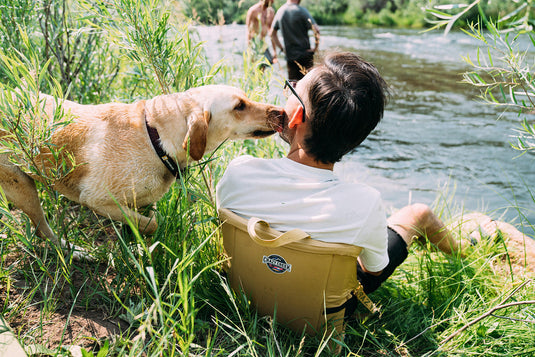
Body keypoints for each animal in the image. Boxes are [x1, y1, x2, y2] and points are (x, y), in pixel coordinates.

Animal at [1, 84, 284, 245]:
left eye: (245, 99)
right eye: (239, 106)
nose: (281, 112)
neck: (154, 137)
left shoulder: (143, 202)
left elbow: (145, 222)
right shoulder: (98, 200)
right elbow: (153, 225)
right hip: (21, 185)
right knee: (43, 231)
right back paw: (77, 251)